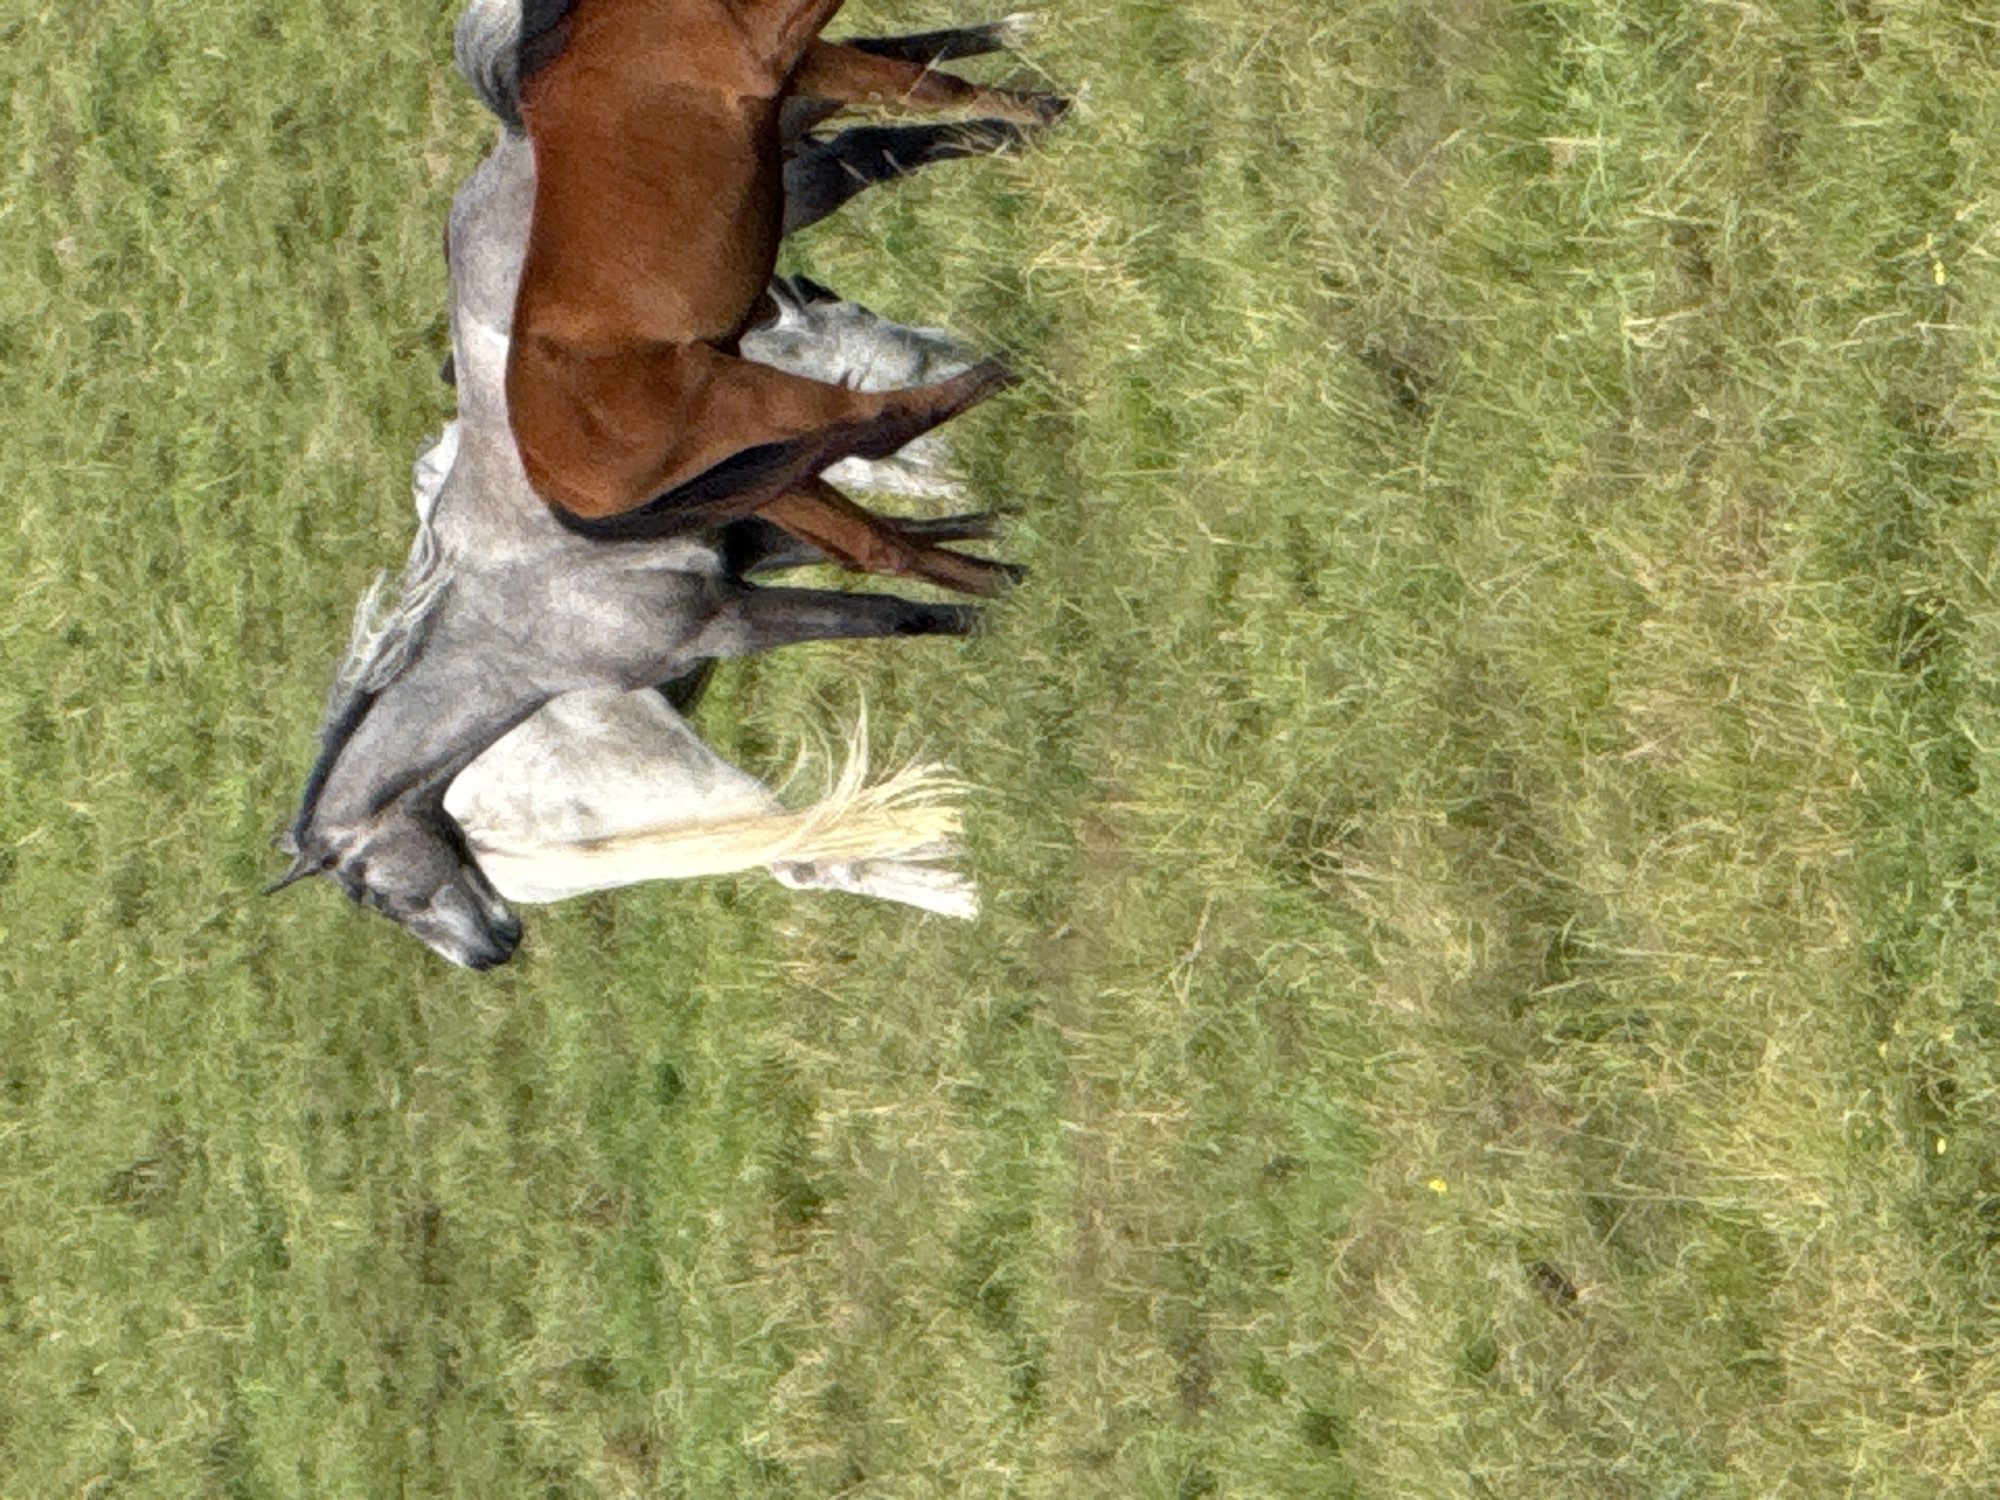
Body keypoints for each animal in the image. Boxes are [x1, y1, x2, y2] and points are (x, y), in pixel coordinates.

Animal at [481, 0, 1065, 542]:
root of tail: (554, 485)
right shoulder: (771, 52)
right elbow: (924, 86)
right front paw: (1043, 113)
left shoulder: (803, 64)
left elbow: (918, 70)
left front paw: (1034, 108)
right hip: (758, 398)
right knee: (887, 422)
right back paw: (1016, 366)